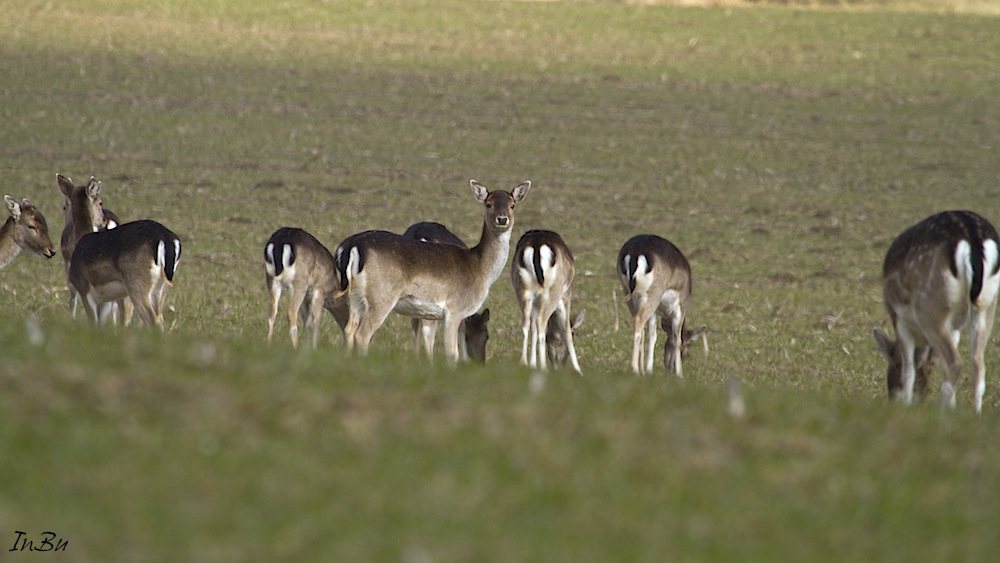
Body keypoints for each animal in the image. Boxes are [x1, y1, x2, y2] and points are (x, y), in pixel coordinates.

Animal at [512, 229, 584, 374]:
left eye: (548, 339)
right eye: (575, 334)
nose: (558, 364)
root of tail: (536, 245)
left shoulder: (535, 301)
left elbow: (533, 328)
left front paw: (533, 364)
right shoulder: (566, 295)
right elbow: (566, 330)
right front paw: (579, 370)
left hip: (523, 291)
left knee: (526, 323)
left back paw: (523, 362)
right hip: (552, 293)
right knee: (541, 321)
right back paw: (544, 367)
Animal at [612, 236, 708, 376]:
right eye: (686, 351)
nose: (669, 369)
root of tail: (636, 252)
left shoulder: (655, 311)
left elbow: (652, 335)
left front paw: (648, 370)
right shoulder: (680, 307)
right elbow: (676, 338)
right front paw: (680, 374)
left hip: (629, 293)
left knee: (639, 325)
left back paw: (639, 369)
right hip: (653, 293)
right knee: (639, 320)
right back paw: (634, 368)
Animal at [868, 209, 1000, 412]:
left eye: (893, 366)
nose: (892, 399)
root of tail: (971, 235)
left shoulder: (900, 320)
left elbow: (909, 369)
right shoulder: (954, 328)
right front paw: (952, 407)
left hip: (930, 307)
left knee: (954, 363)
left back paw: (939, 410)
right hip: (986, 306)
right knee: (978, 364)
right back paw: (974, 413)